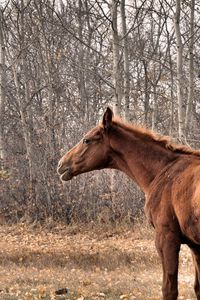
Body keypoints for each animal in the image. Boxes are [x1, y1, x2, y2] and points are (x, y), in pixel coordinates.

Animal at [57, 108, 200, 300]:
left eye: (86, 140)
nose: (61, 164)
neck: (163, 171)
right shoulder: (195, 245)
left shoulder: (167, 237)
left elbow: (169, 289)